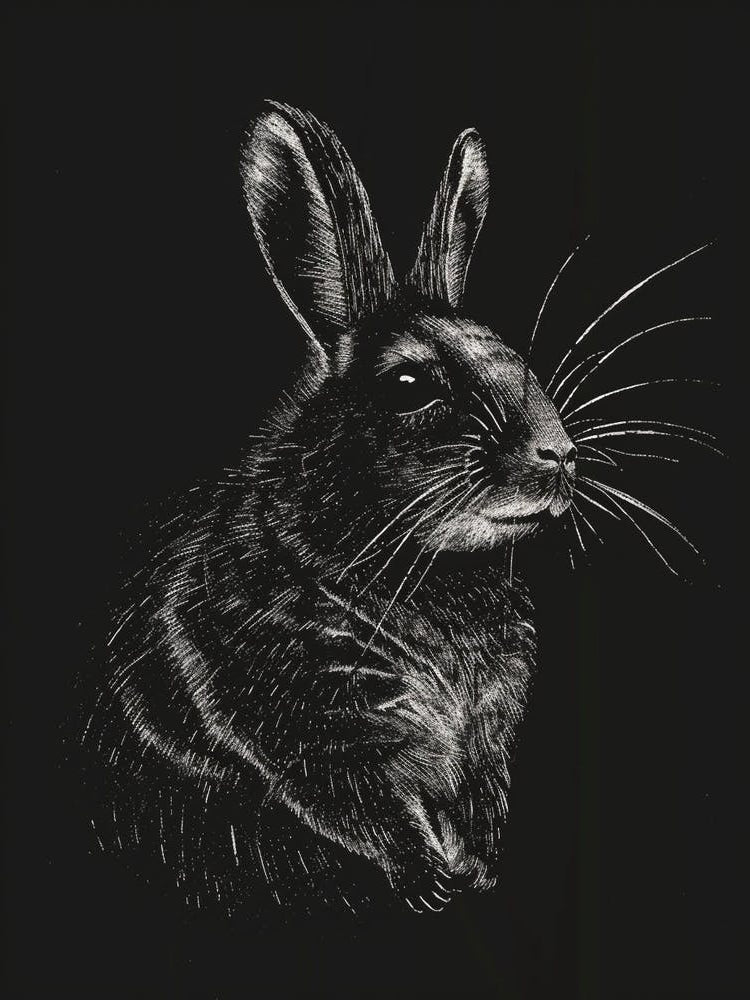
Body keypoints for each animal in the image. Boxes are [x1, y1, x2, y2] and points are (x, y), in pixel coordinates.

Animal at [80, 100, 646, 915]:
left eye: (518, 360)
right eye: (410, 386)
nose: (559, 453)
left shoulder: (481, 737)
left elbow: (476, 791)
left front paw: (478, 866)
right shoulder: (306, 720)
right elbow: (362, 804)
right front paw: (431, 883)